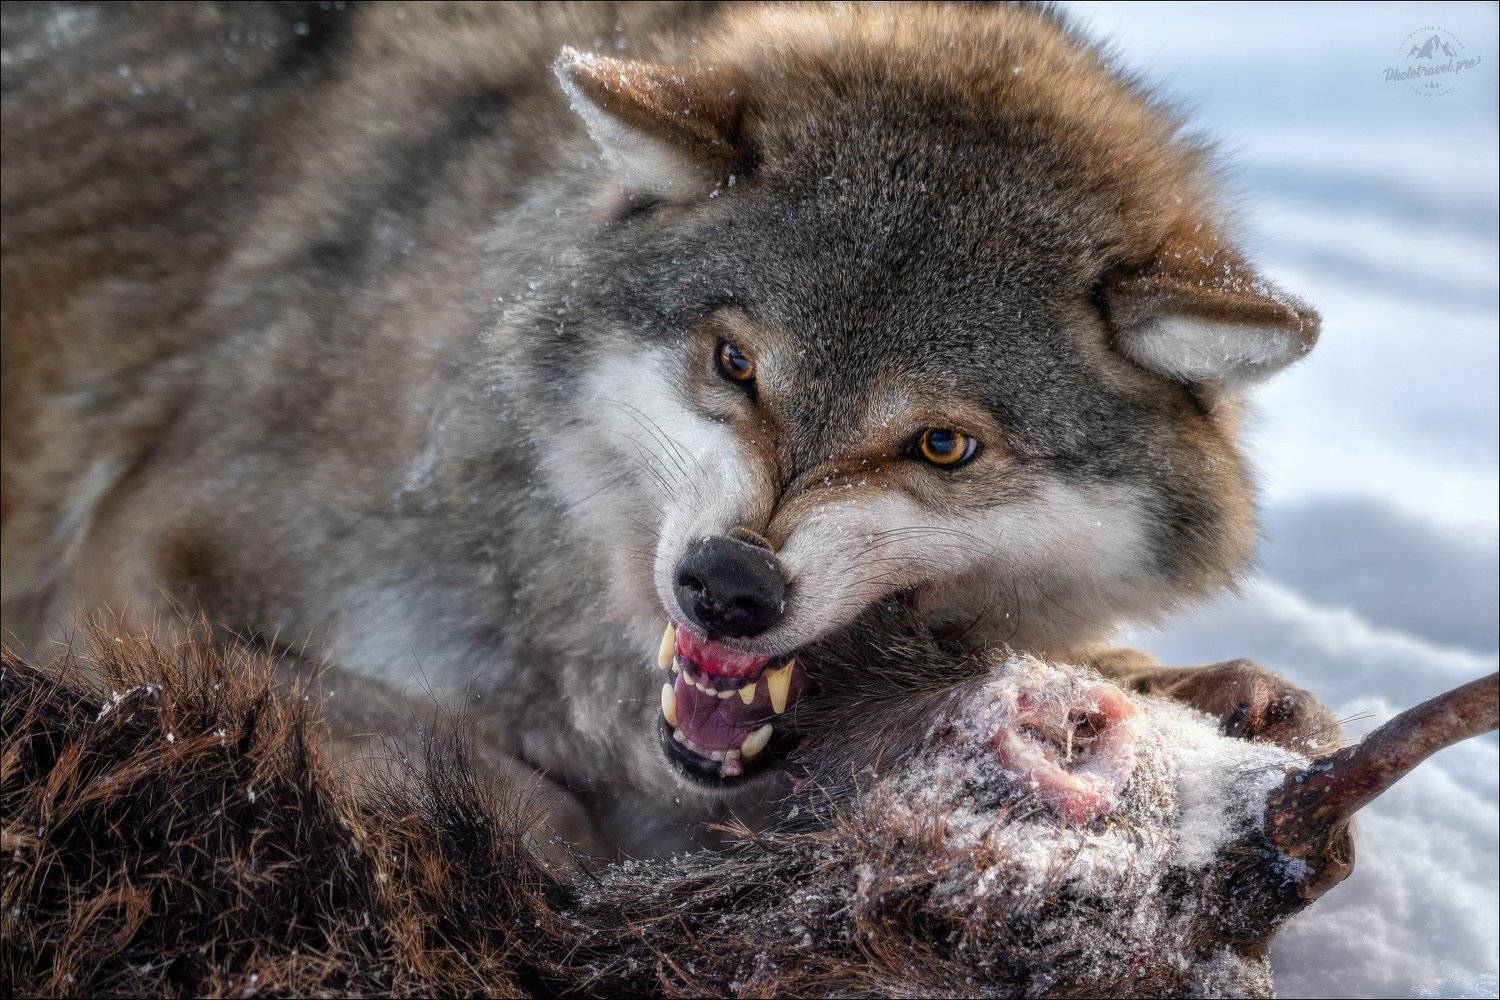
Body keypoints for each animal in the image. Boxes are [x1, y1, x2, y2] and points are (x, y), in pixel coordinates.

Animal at [1, 2, 1327, 857]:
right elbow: (516, 789)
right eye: (736, 364)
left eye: (944, 446)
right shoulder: (133, 578)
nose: (728, 586)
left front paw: (1222, 693)